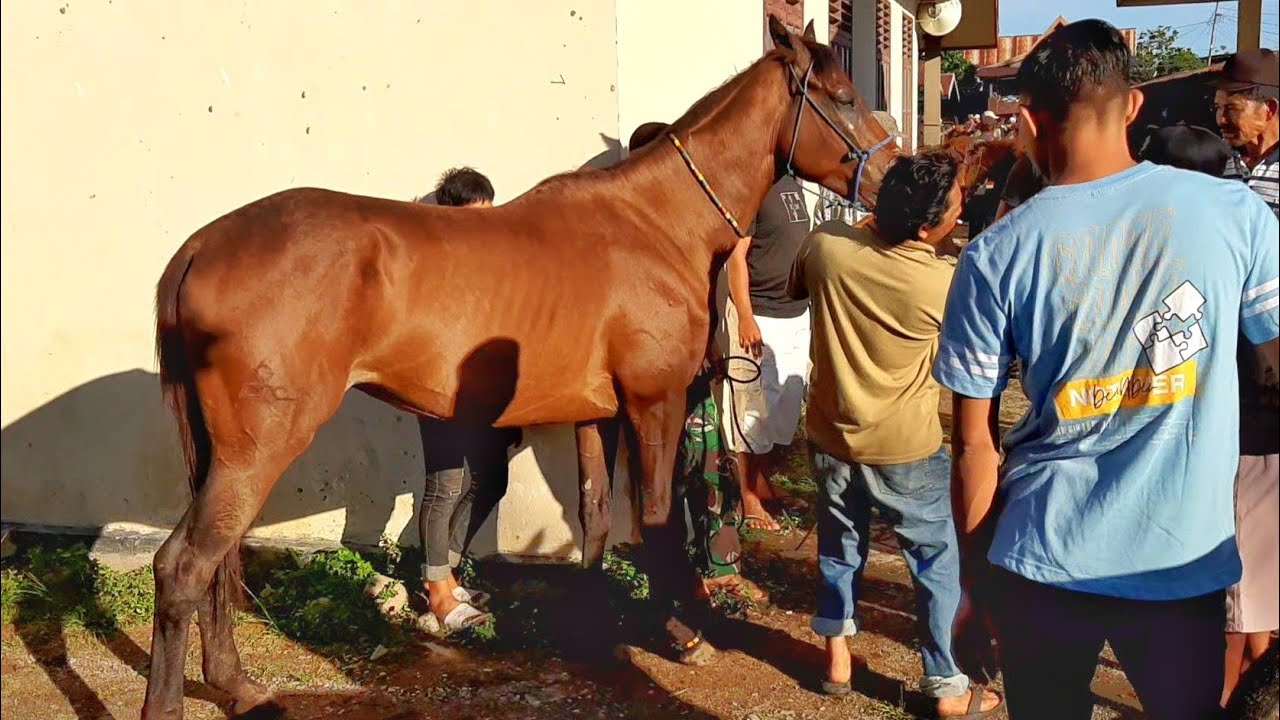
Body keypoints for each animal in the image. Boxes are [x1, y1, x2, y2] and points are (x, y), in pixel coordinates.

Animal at [142, 16, 897, 719]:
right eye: (843, 96)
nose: (898, 176)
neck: (655, 225)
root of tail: (201, 245)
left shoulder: (599, 414)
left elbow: (596, 516)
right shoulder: (655, 403)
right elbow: (655, 517)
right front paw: (681, 631)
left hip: (222, 451)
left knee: (217, 564)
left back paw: (236, 683)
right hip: (258, 446)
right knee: (185, 565)